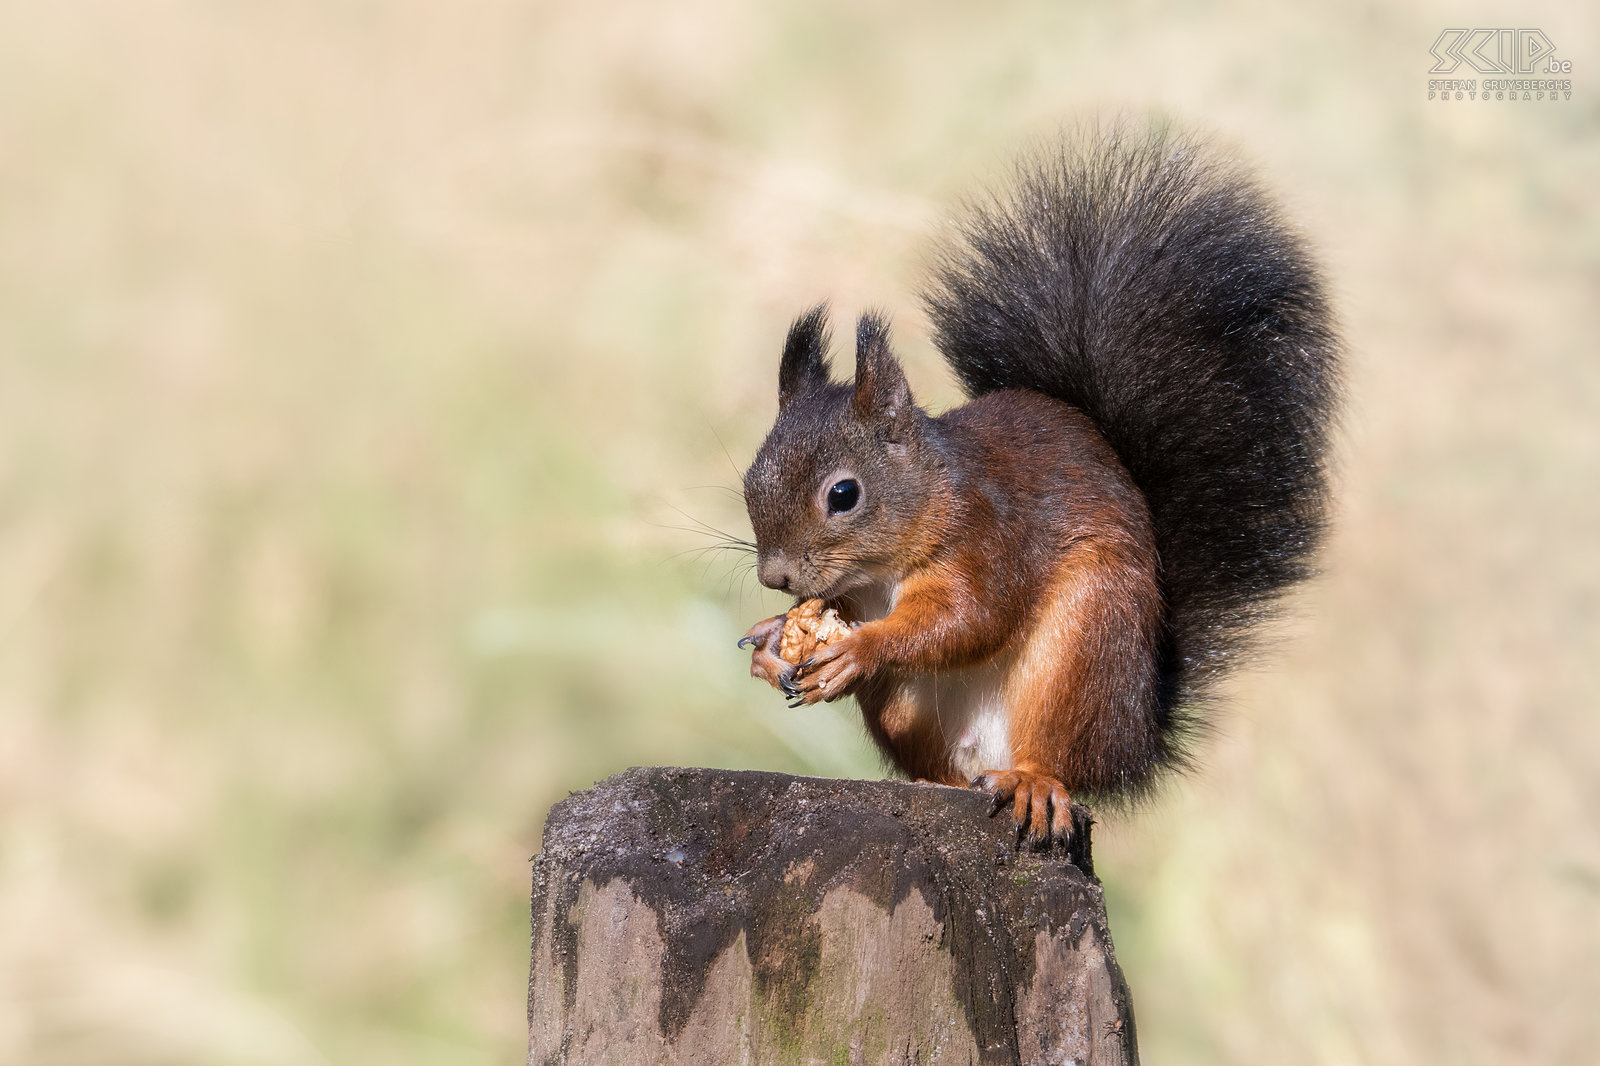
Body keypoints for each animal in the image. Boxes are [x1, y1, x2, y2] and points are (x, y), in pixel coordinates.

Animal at [736, 124, 1337, 845]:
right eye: (750, 478)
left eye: (844, 494)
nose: (775, 577)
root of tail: (1134, 739)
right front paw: (773, 639)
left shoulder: (989, 535)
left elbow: (971, 617)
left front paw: (860, 648)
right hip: (911, 712)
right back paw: (936, 783)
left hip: (1084, 644)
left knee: (1056, 755)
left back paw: (1032, 782)